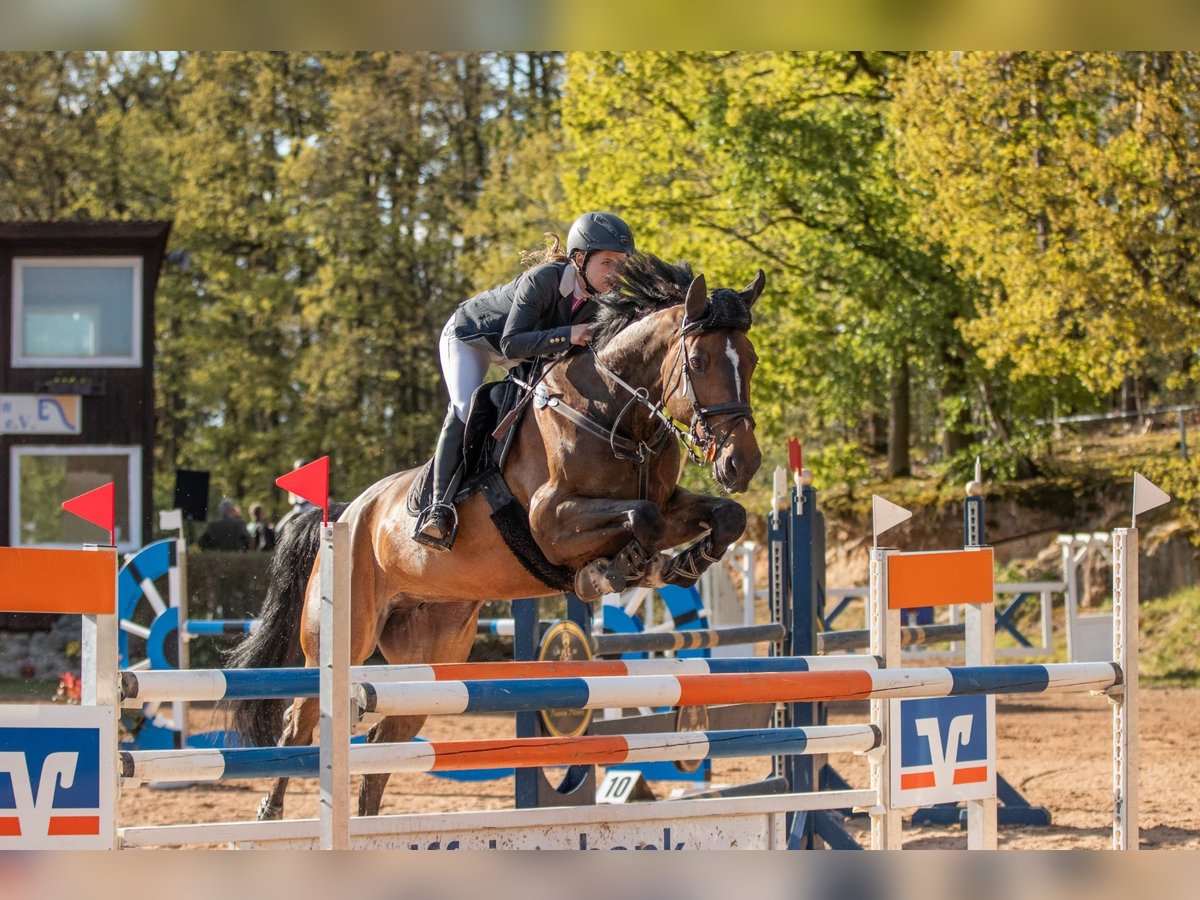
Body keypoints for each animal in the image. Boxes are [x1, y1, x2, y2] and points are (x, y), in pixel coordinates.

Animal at [225, 250, 763, 820]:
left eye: (750, 361)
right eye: (699, 362)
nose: (743, 463)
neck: (614, 414)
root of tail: (348, 510)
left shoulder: (668, 500)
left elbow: (723, 516)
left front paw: (681, 562)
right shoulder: (551, 522)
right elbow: (642, 520)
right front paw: (612, 571)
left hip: (433, 656)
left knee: (383, 743)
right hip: (342, 639)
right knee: (300, 722)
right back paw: (270, 814)